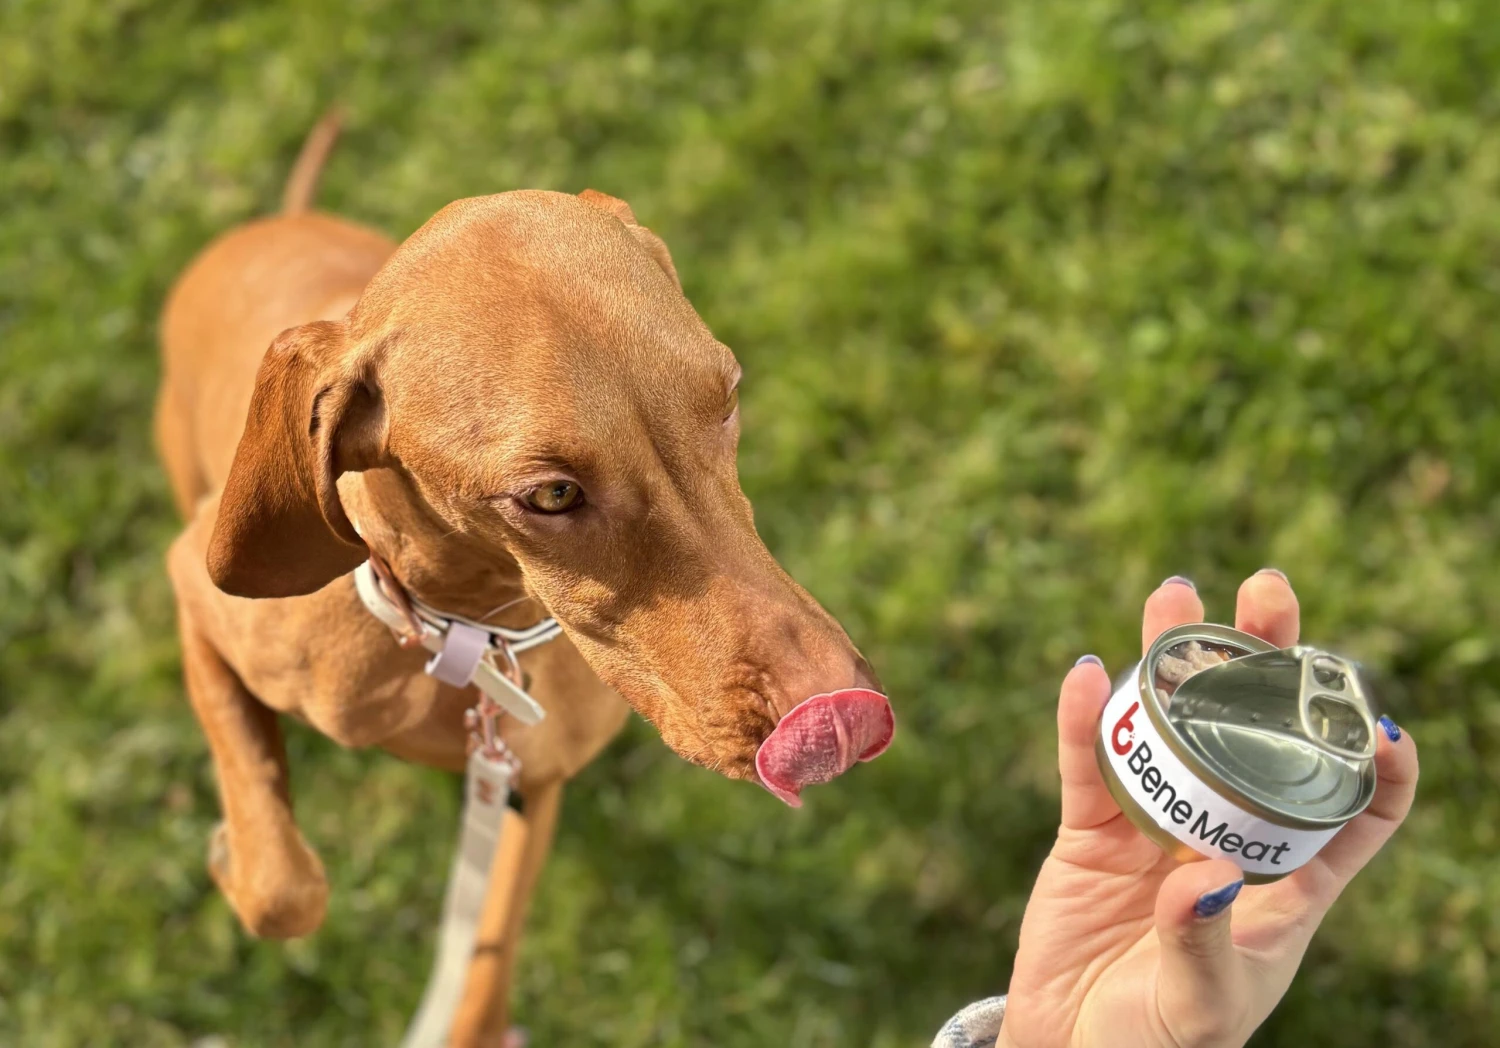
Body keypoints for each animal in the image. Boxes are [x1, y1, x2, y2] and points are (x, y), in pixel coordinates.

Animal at [155, 114, 888, 1043]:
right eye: (551, 495)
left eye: (727, 396)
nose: (841, 719)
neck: (464, 633)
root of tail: (275, 221)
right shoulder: (194, 588)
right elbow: (283, 887)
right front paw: (231, 851)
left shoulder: (527, 782)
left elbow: (483, 964)